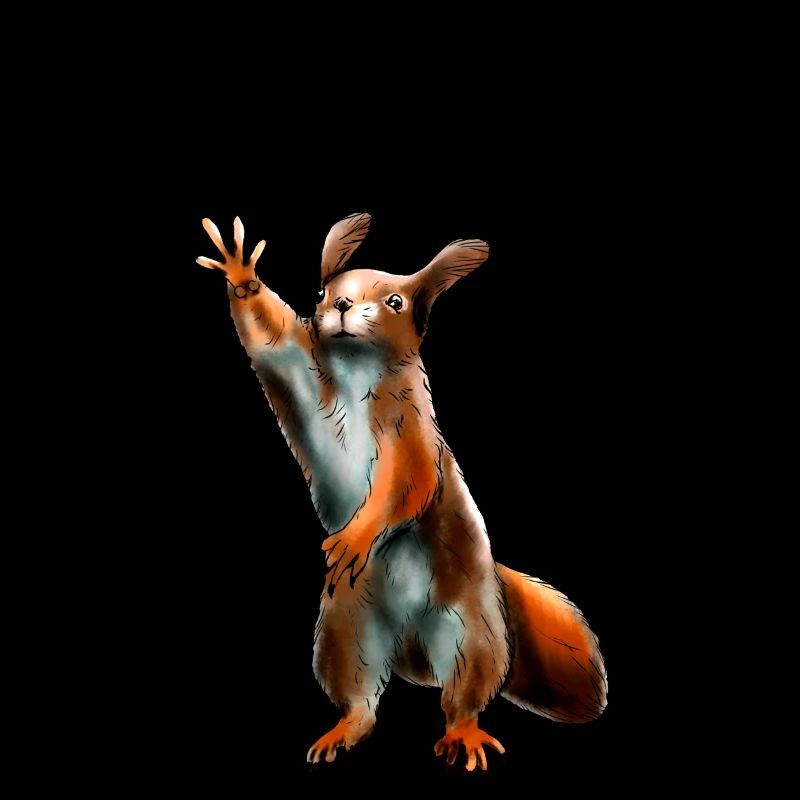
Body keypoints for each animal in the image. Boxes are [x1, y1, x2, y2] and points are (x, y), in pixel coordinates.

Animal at [197, 213, 607, 772]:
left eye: (397, 301)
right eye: (322, 291)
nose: (342, 306)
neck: (355, 372)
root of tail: (410, 640)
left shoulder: (410, 433)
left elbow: (406, 485)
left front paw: (356, 536)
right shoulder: (301, 369)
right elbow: (271, 340)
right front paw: (241, 273)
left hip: (470, 629)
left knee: (467, 688)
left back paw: (463, 734)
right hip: (346, 625)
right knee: (359, 693)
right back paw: (343, 730)